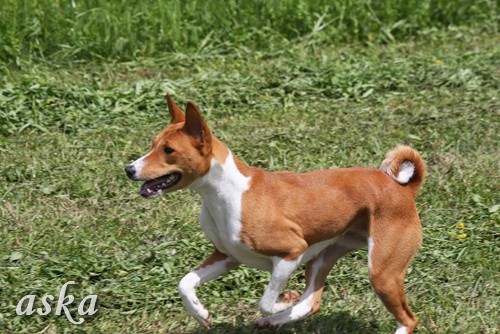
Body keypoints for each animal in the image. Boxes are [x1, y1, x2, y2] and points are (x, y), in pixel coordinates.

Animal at [124, 93, 426, 332]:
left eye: (168, 150)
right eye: (153, 144)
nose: (129, 169)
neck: (226, 194)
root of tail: (402, 188)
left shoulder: (290, 253)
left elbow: (266, 301)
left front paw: (285, 298)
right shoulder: (227, 256)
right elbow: (184, 283)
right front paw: (200, 314)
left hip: (382, 272)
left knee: (408, 319)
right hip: (324, 257)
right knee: (311, 302)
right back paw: (275, 321)